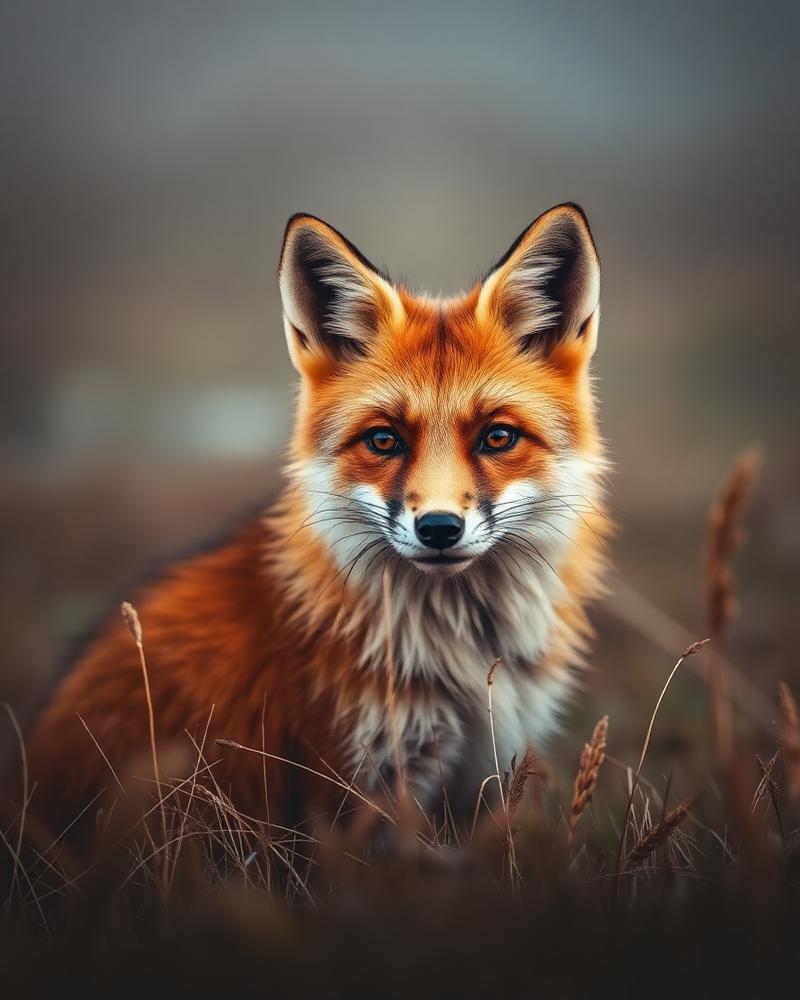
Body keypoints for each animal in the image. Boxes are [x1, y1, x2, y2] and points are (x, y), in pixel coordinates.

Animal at [25, 202, 609, 835]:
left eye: (497, 437)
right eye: (383, 440)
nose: (438, 528)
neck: (461, 652)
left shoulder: (484, 773)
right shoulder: (355, 790)